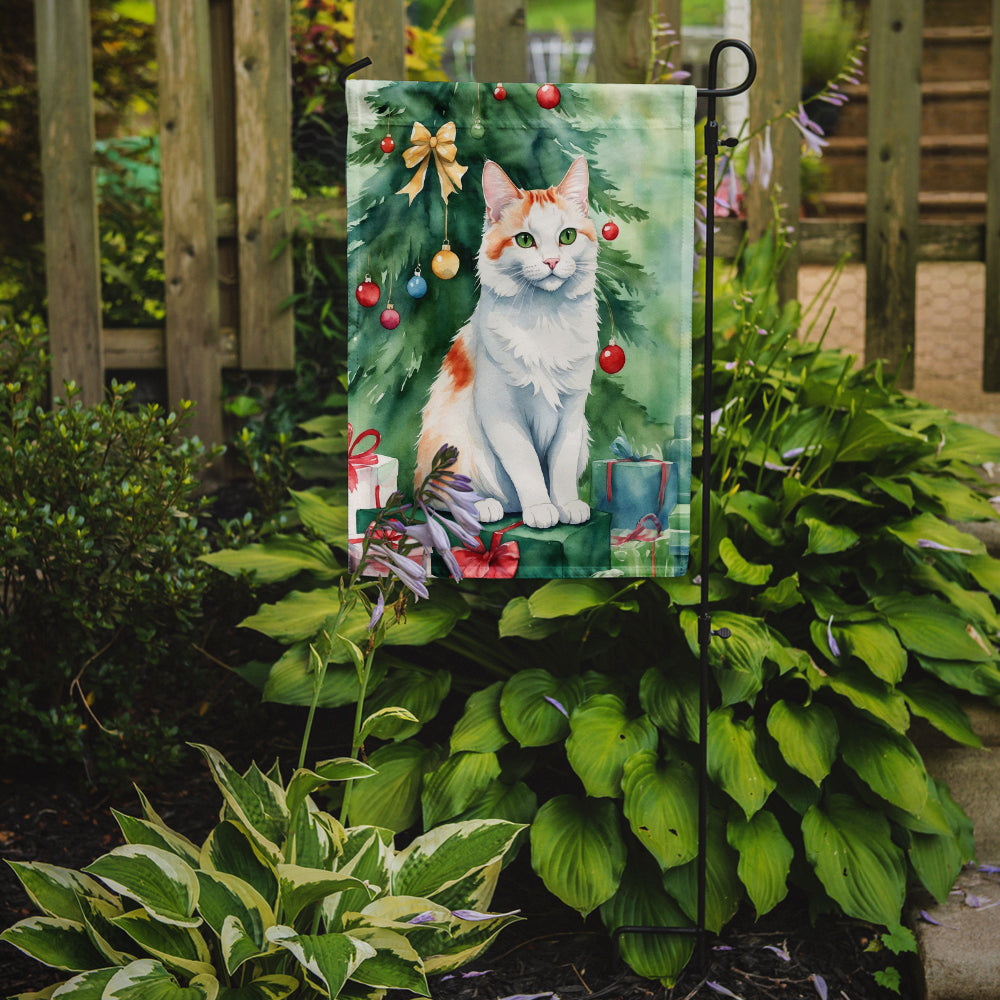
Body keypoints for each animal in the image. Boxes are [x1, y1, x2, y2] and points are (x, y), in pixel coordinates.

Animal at [412, 154, 596, 532]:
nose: (552, 261)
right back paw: (483, 507)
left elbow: (561, 467)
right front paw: (541, 508)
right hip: (452, 447)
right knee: (436, 497)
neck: (545, 318)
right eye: (525, 240)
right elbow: (527, 467)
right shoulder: (501, 413)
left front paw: (566, 505)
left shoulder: (573, 413)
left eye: (567, 237)